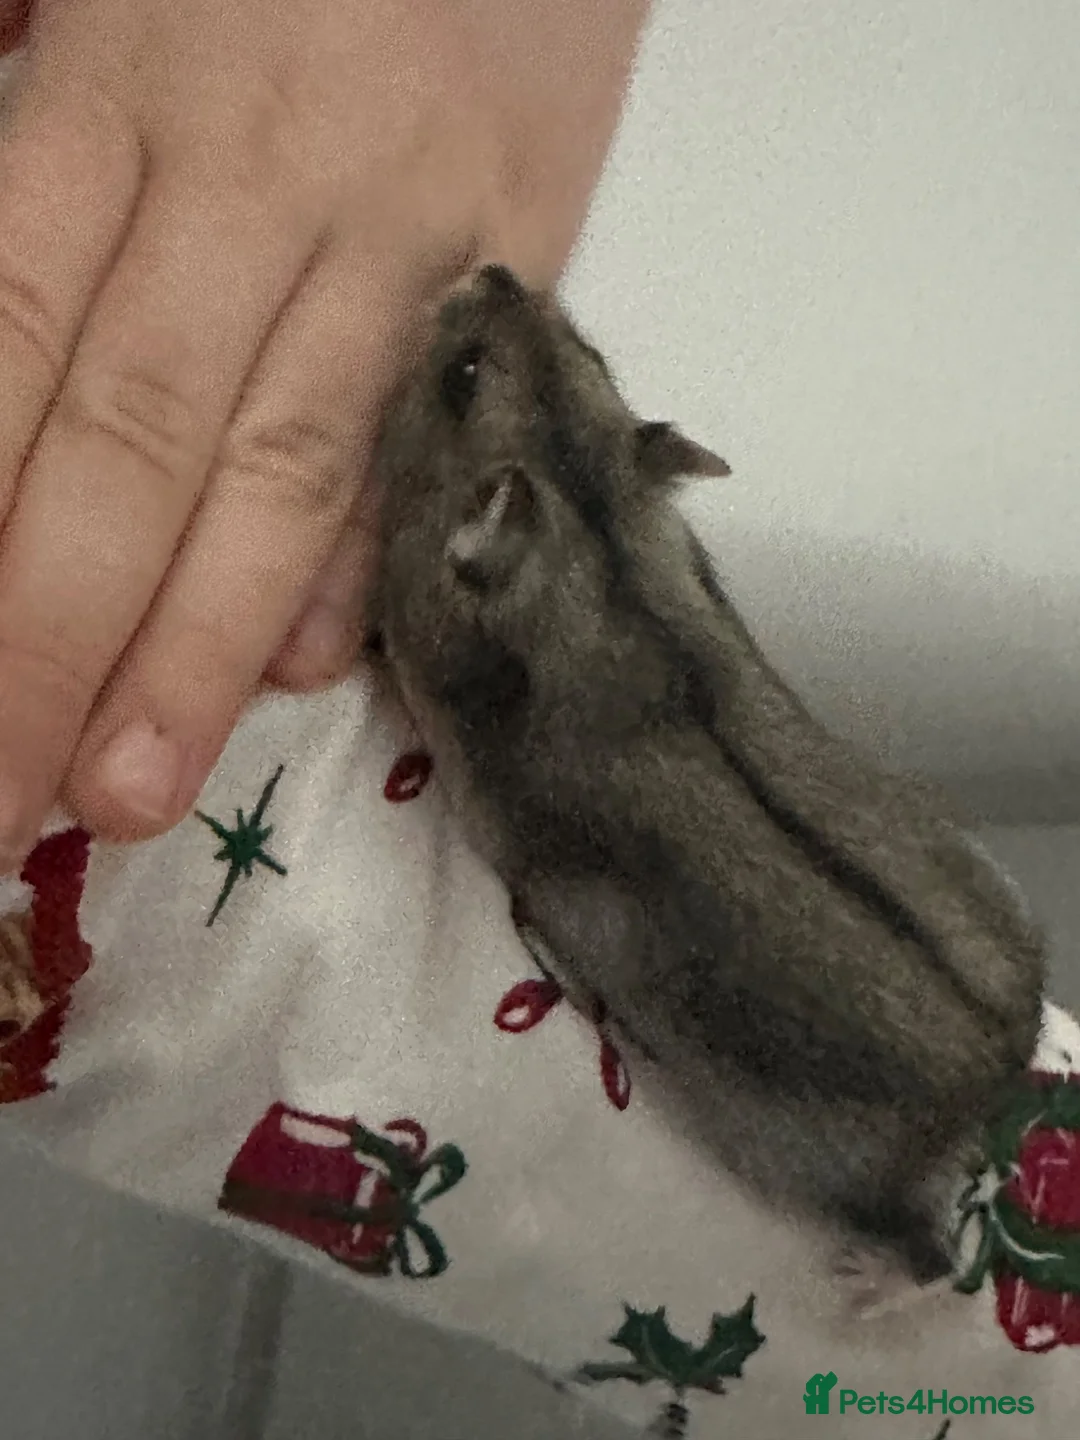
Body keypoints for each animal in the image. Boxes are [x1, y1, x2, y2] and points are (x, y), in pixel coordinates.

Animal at [369, 263, 1046, 1284]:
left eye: (465, 374)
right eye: (594, 351)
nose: (494, 270)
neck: (600, 538)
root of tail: (1001, 1077)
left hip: (813, 1163)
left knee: (924, 1256)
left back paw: (859, 1277)